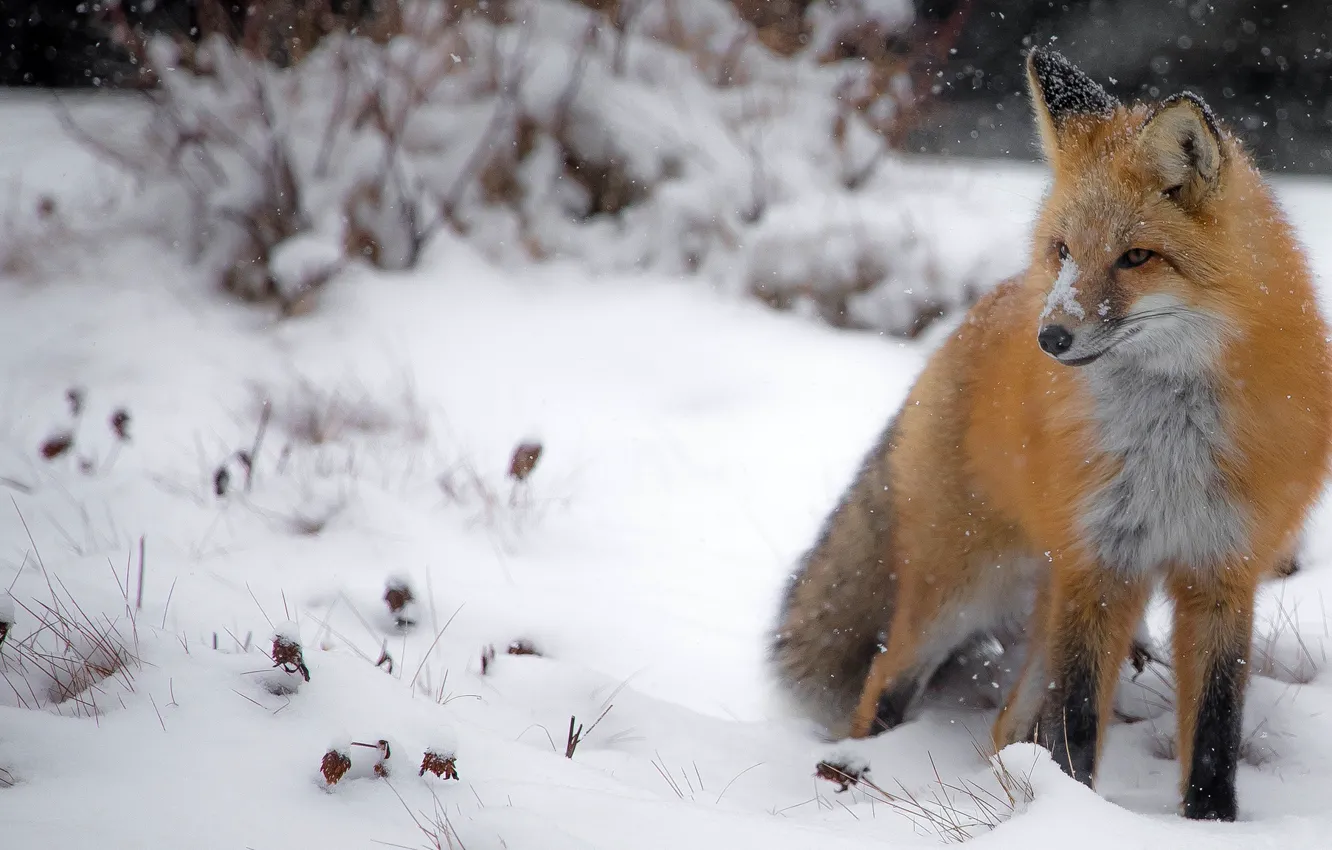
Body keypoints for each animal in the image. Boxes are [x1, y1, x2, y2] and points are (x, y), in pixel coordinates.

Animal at [772, 46, 1332, 826]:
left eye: (1136, 257)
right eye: (1064, 249)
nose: (1052, 338)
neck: (1170, 449)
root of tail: (974, 319)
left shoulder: (1222, 573)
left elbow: (1216, 729)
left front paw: (1210, 825)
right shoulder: (1097, 570)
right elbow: (1076, 724)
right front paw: (1078, 813)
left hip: (1047, 591)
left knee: (1006, 723)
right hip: (964, 588)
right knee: (886, 677)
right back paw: (858, 773)